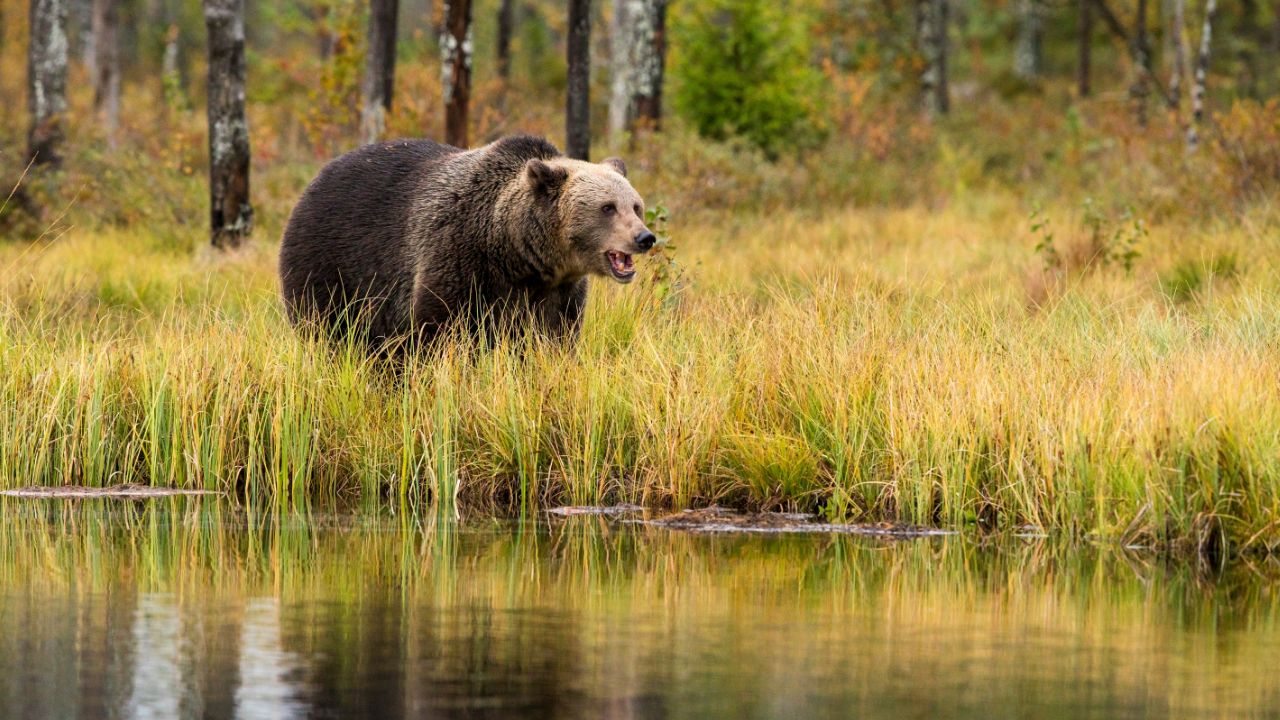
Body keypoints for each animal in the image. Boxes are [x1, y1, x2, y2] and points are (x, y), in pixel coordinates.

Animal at [278, 135, 655, 353]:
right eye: (608, 207)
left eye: (636, 206)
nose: (644, 237)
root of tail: (315, 179)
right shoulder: (458, 258)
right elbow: (439, 329)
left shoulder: (556, 292)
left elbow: (554, 338)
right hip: (331, 264)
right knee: (327, 329)